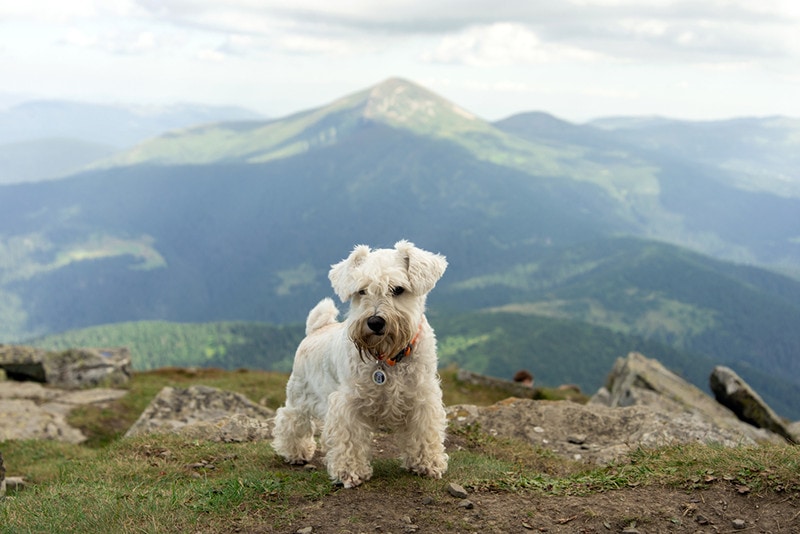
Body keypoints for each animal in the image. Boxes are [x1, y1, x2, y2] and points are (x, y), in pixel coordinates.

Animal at [272, 242, 450, 490]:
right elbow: (349, 440)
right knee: (290, 420)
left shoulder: (422, 397)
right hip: (299, 396)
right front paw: (350, 472)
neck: (386, 357)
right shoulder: (347, 404)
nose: (375, 322)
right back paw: (296, 453)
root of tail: (316, 329)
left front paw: (427, 463)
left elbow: (425, 432)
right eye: (361, 291)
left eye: (398, 289)